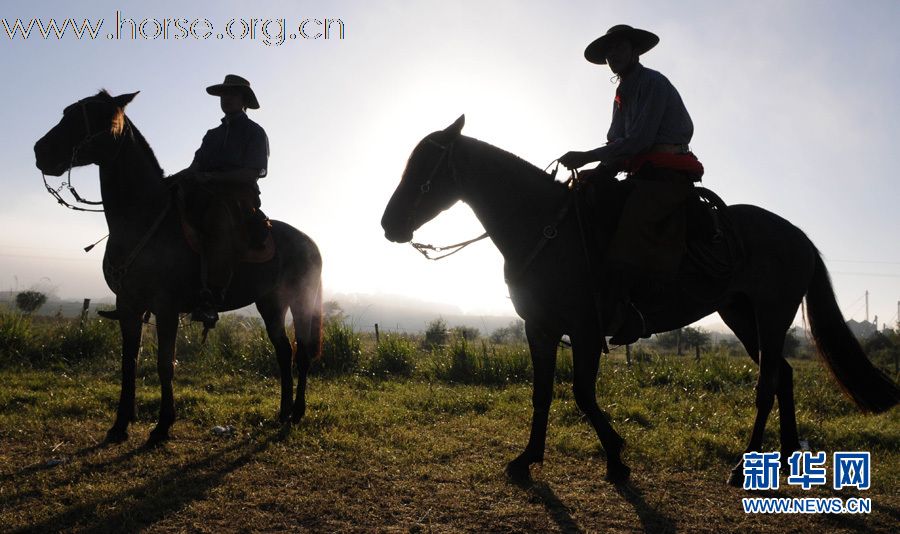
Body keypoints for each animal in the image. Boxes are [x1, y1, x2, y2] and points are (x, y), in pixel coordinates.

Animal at [35, 93, 324, 448]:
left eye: (90, 117)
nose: (40, 151)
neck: (142, 218)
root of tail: (309, 243)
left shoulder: (166, 306)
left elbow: (164, 364)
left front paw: (162, 427)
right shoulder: (128, 305)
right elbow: (128, 363)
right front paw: (120, 425)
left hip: (300, 301)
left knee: (303, 354)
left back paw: (296, 413)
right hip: (270, 303)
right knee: (284, 352)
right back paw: (282, 412)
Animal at [382, 116, 900, 486]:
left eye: (425, 166)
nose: (390, 224)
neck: (548, 229)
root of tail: (799, 236)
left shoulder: (586, 329)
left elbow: (582, 393)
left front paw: (616, 457)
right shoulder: (540, 328)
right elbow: (542, 392)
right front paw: (527, 458)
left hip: (772, 315)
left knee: (768, 383)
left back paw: (743, 466)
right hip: (740, 314)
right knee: (785, 376)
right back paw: (786, 460)